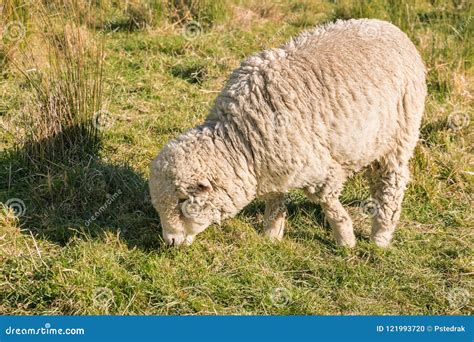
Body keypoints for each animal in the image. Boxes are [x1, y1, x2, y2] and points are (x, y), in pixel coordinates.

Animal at [150, 18, 428, 247]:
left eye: (182, 200)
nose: (170, 242)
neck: (241, 140)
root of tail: (389, 26)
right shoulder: (273, 163)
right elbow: (275, 199)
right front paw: (271, 235)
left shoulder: (319, 168)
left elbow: (328, 202)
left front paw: (345, 239)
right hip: (374, 140)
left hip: (401, 134)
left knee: (392, 182)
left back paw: (380, 236)